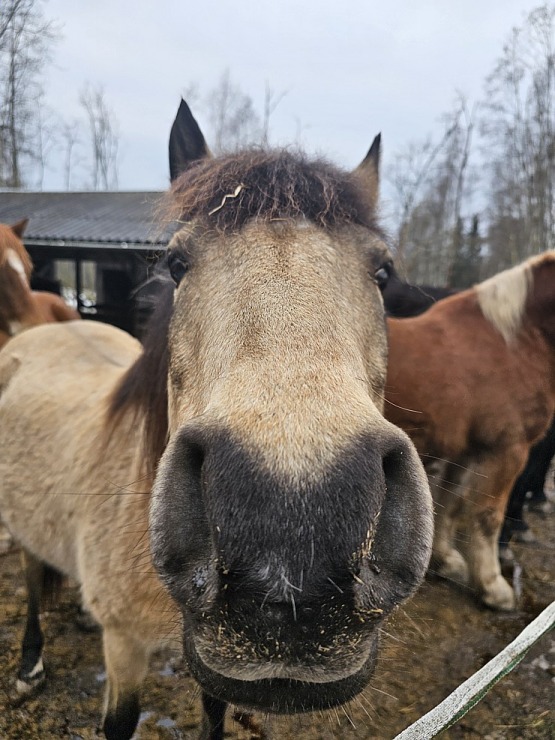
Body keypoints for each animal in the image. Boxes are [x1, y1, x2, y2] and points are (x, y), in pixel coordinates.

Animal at [384, 251, 555, 608]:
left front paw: (445, 561)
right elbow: (488, 515)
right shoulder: (508, 451)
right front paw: (493, 587)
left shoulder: (466, 451)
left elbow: (448, 503)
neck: (515, 341)